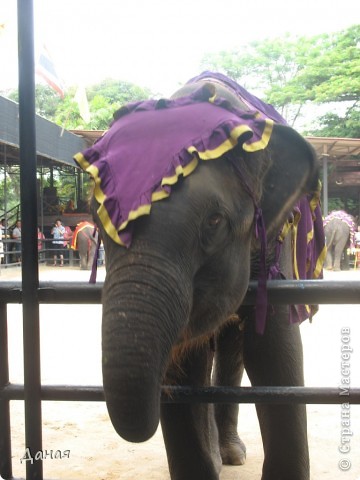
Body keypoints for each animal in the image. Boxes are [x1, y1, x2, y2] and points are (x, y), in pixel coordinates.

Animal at [74, 72, 324, 480]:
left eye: (214, 221)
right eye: (100, 218)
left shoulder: (275, 240)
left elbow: (274, 349)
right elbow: (187, 367)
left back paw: (232, 454)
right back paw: (222, 456)